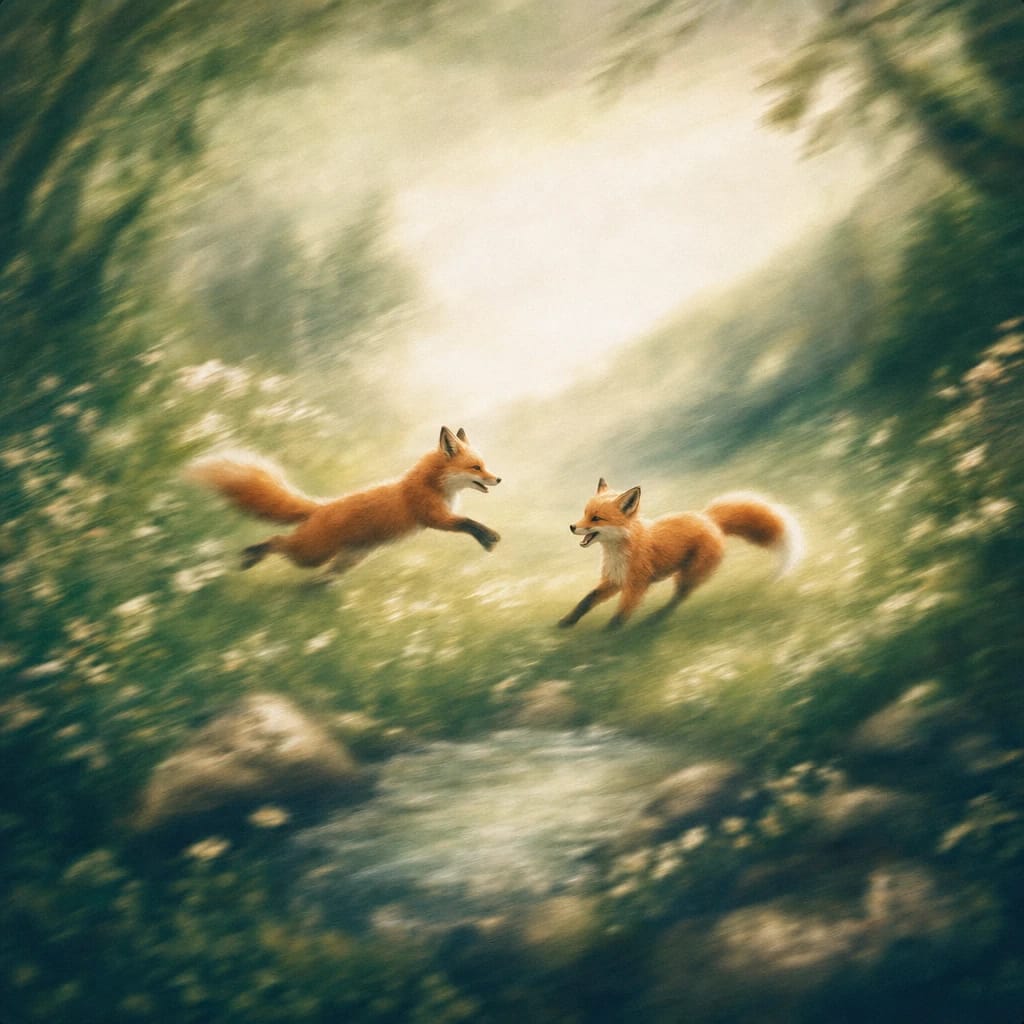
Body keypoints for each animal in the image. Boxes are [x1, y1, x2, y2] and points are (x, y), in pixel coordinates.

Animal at [187, 427, 501, 574]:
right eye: (477, 468)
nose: (498, 479)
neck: (432, 485)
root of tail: (320, 506)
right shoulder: (435, 517)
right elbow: (469, 523)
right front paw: (489, 538)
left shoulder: (440, 516)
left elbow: (467, 522)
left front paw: (488, 539)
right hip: (310, 555)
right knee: (277, 541)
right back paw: (251, 555)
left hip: (346, 560)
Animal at [559, 479, 803, 630]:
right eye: (584, 514)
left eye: (596, 518)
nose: (571, 526)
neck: (618, 553)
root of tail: (708, 518)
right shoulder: (614, 580)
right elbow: (586, 601)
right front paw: (566, 622)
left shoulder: (636, 585)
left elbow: (621, 614)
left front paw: (608, 636)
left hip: (687, 574)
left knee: (679, 597)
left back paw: (655, 619)